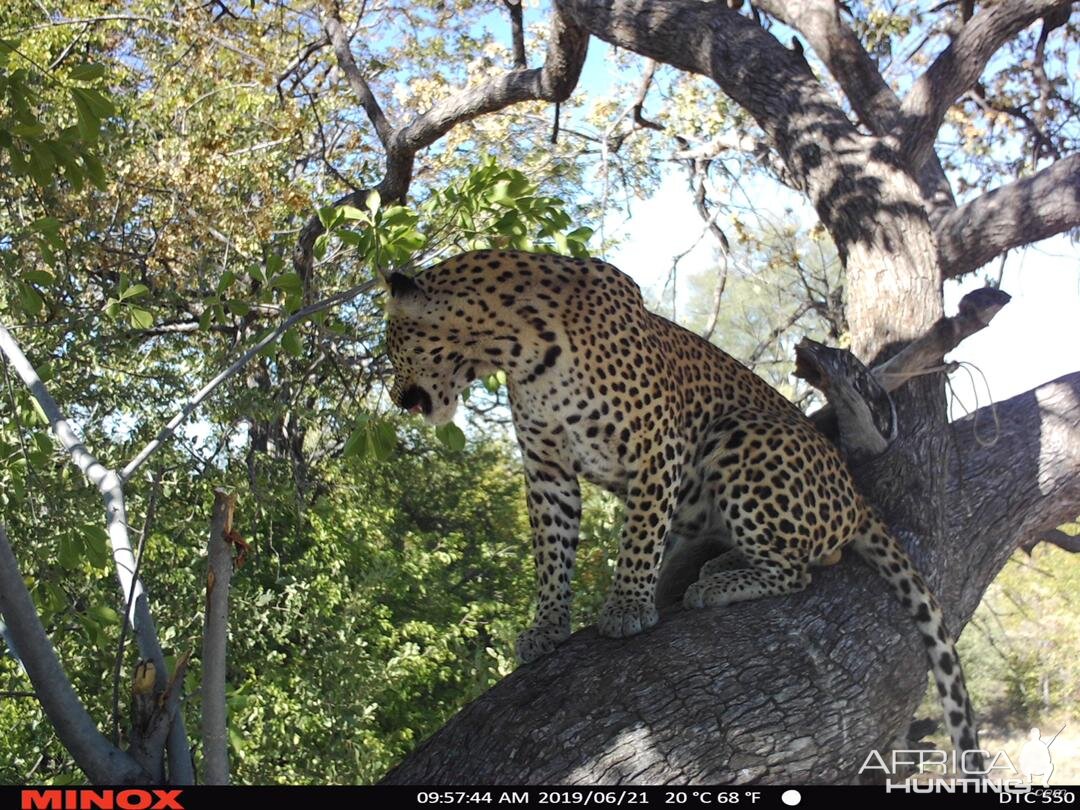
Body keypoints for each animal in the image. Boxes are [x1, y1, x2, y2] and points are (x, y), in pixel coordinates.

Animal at [384, 250, 984, 768]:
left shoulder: (656, 447)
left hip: (740, 433)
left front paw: (627, 607)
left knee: (799, 570)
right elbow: (551, 555)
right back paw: (720, 564)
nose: (394, 397)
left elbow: (639, 537)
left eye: (392, 348)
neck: (515, 350)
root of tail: (857, 496)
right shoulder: (547, 469)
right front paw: (547, 627)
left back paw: (716, 585)